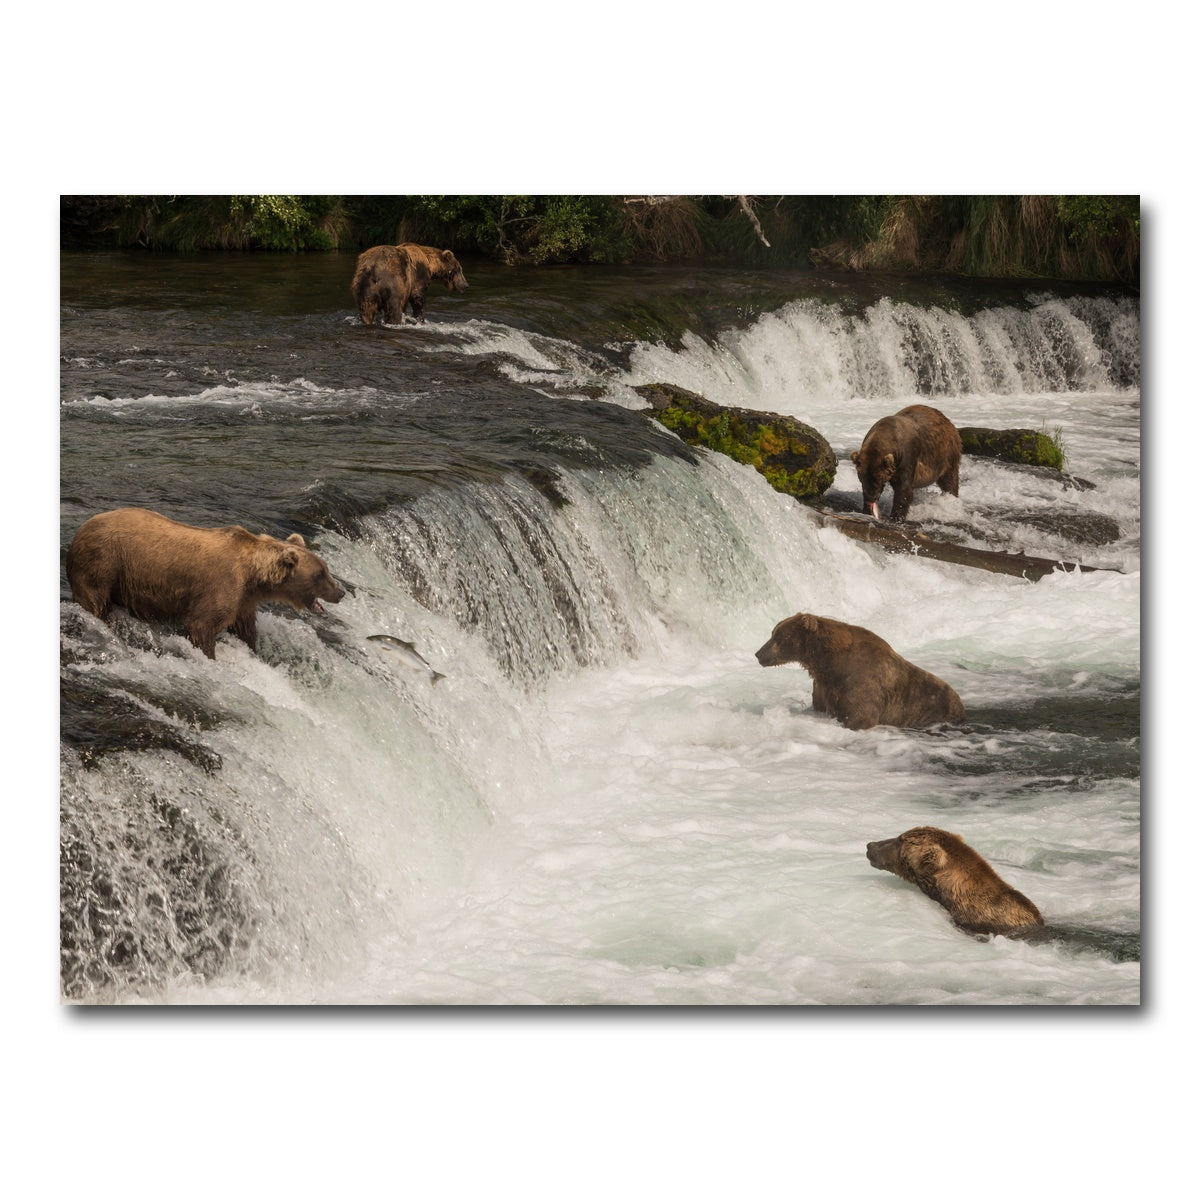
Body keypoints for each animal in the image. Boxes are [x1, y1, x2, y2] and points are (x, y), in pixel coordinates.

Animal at [66, 507, 345, 659]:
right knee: (95, 601)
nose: (341, 592)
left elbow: (245, 629)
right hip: (104, 562)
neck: (254, 577)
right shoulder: (221, 586)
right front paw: (210, 655)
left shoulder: (244, 600)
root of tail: (80, 530)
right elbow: (202, 625)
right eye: (321, 574)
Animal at [754, 612, 964, 730]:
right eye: (773, 632)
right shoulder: (824, 686)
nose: (758, 654)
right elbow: (819, 705)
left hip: (933, 708)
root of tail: (960, 704)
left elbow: (861, 715)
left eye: (777, 636)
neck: (828, 662)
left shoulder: (860, 681)